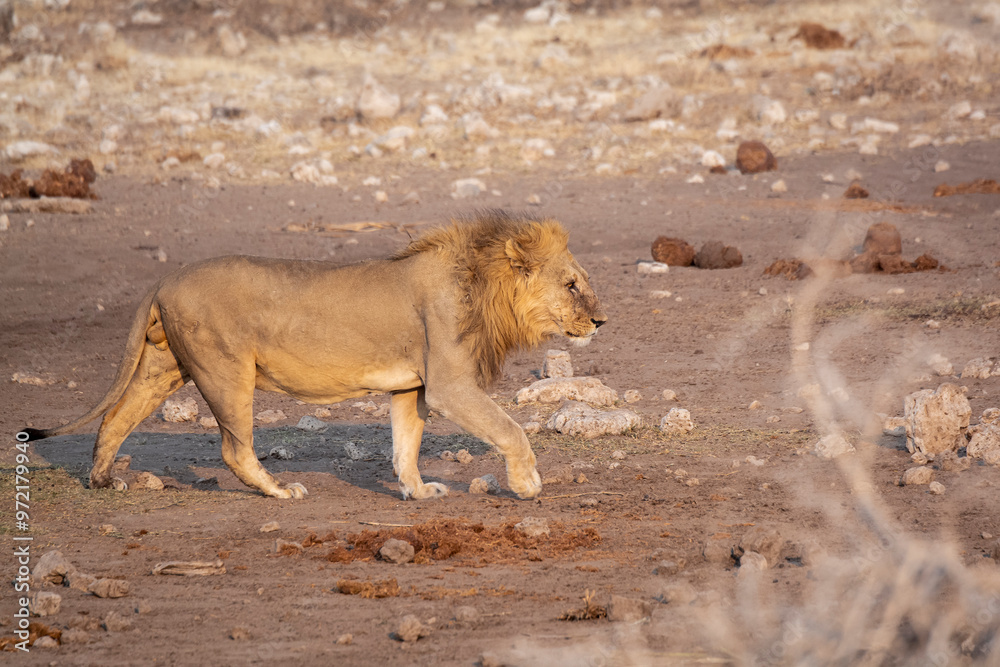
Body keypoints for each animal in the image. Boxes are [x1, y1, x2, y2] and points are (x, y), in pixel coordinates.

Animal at [17, 211, 607, 501]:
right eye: (572, 285)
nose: (601, 321)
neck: (481, 284)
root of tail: (165, 278)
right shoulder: (449, 386)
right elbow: (512, 430)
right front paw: (527, 484)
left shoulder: (411, 387)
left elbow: (405, 448)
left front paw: (419, 493)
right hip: (226, 370)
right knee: (234, 449)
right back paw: (280, 492)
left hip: (166, 367)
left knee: (115, 419)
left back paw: (102, 481)